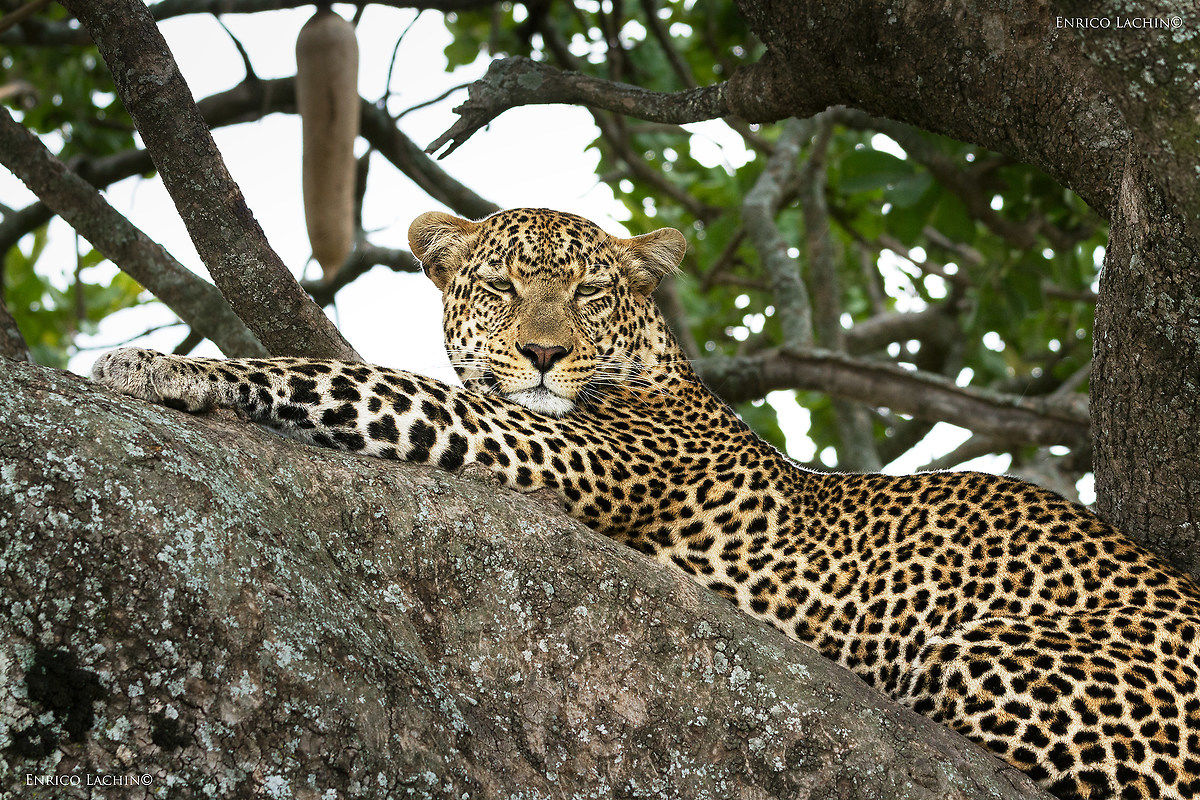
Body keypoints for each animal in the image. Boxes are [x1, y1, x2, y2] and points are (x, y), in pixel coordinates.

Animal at [92, 208, 1200, 800]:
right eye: (500, 287)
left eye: (588, 293)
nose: (543, 352)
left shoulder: (538, 439)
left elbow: (359, 383)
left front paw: (160, 365)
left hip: (993, 663)